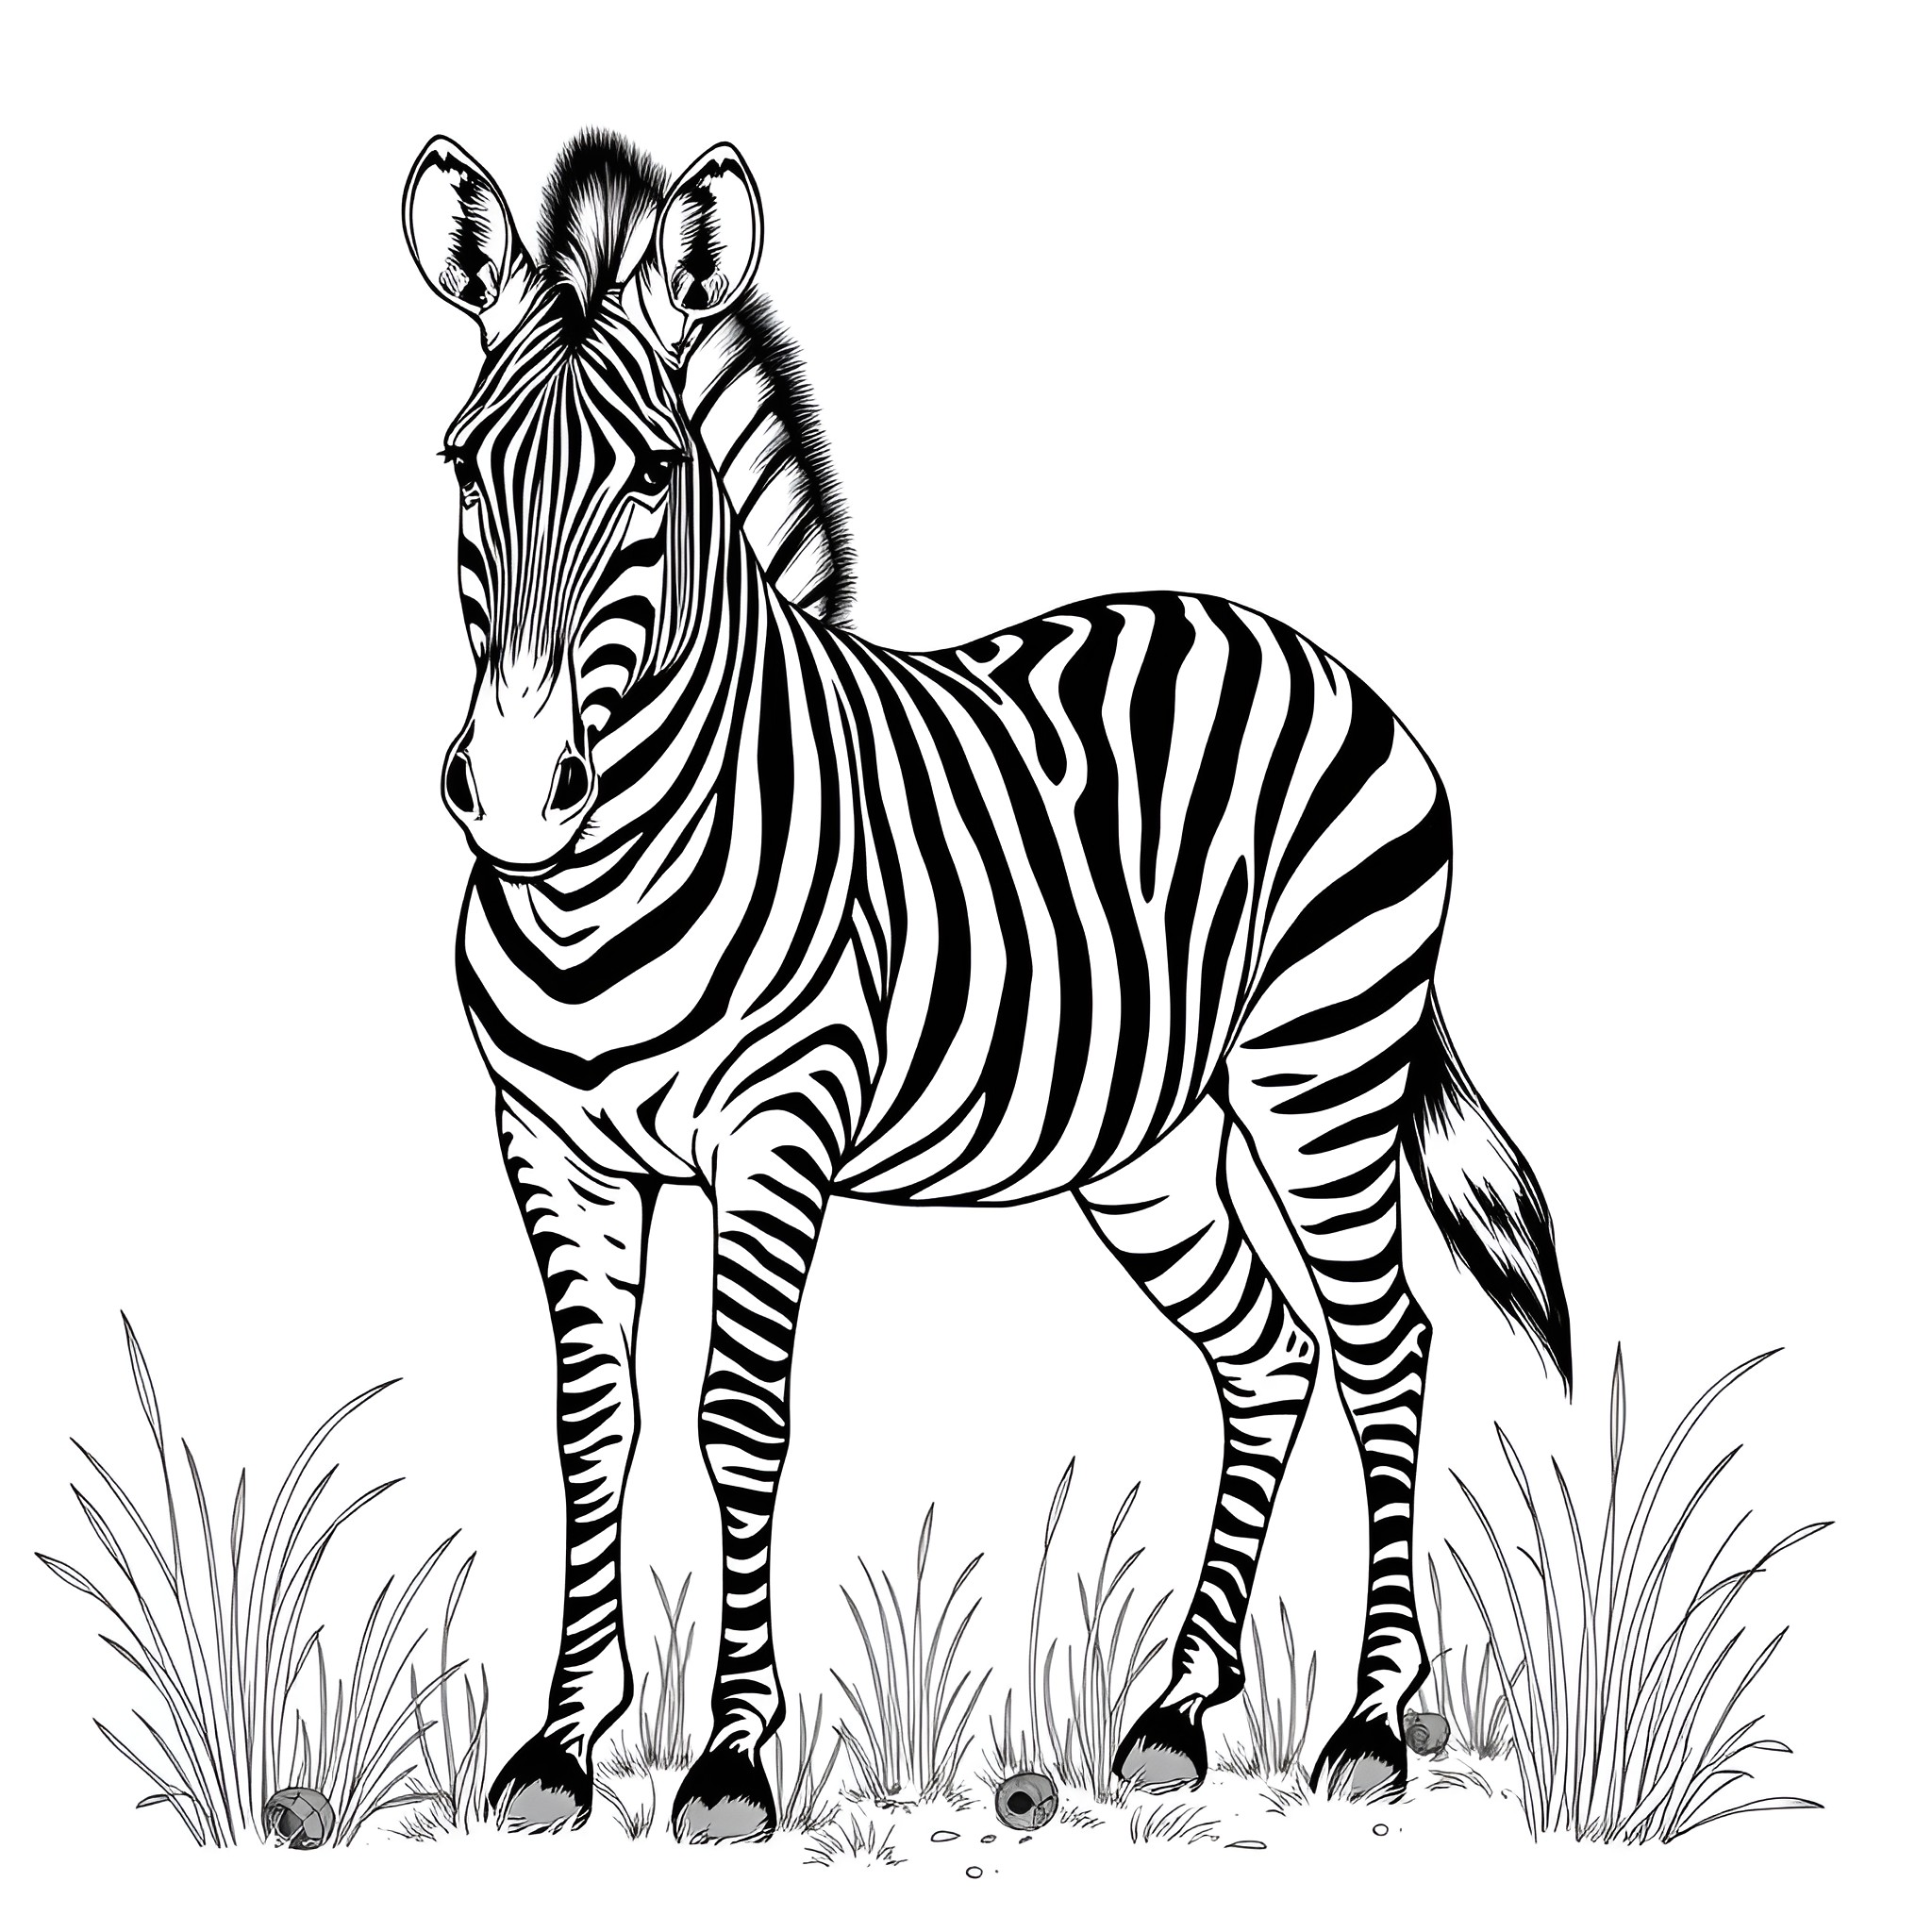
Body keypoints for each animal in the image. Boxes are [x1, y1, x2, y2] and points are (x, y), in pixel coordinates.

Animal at [401, 129, 1570, 1842]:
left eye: (655, 476)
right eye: (460, 468)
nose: (508, 797)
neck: (600, 891)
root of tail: (1311, 651)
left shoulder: (777, 1132)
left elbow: (736, 1420)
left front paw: (732, 1757)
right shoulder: (552, 1150)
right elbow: (591, 1428)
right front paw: (557, 1747)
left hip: (1322, 1073)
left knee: (1385, 1349)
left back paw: (1366, 1725)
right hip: (1152, 1150)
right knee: (1270, 1352)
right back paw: (1177, 1709)